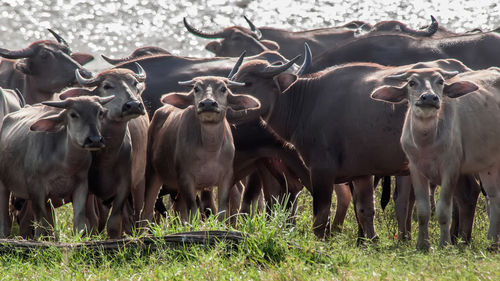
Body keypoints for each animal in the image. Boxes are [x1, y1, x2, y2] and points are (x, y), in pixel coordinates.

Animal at [0, 94, 112, 236]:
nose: (95, 140)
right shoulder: (35, 187)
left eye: (100, 113)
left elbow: (79, 220)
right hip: (3, 185)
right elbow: (41, 222)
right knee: (5, 217)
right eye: (73, 114)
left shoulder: (81, 186)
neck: (65, 165)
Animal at [143, 75, 260, 222]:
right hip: (152, 173)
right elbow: (193, 212)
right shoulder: (185, 179)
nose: (208, 103)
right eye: (196, 88)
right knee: (148, 210)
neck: (210, 151)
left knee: (179, 210)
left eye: (223, 89)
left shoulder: (227, 178)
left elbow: (222, 212)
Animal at [370, 66, 500, 249]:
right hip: (488, 166)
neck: (427, 142)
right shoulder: (415, 169)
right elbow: (423, 210)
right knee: (495, 198)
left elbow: (443, 210)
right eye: (412, 82)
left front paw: (444, 243)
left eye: (440, 81)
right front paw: (423, 245)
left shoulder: (451, 169)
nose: (430, 97)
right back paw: (492, 243)